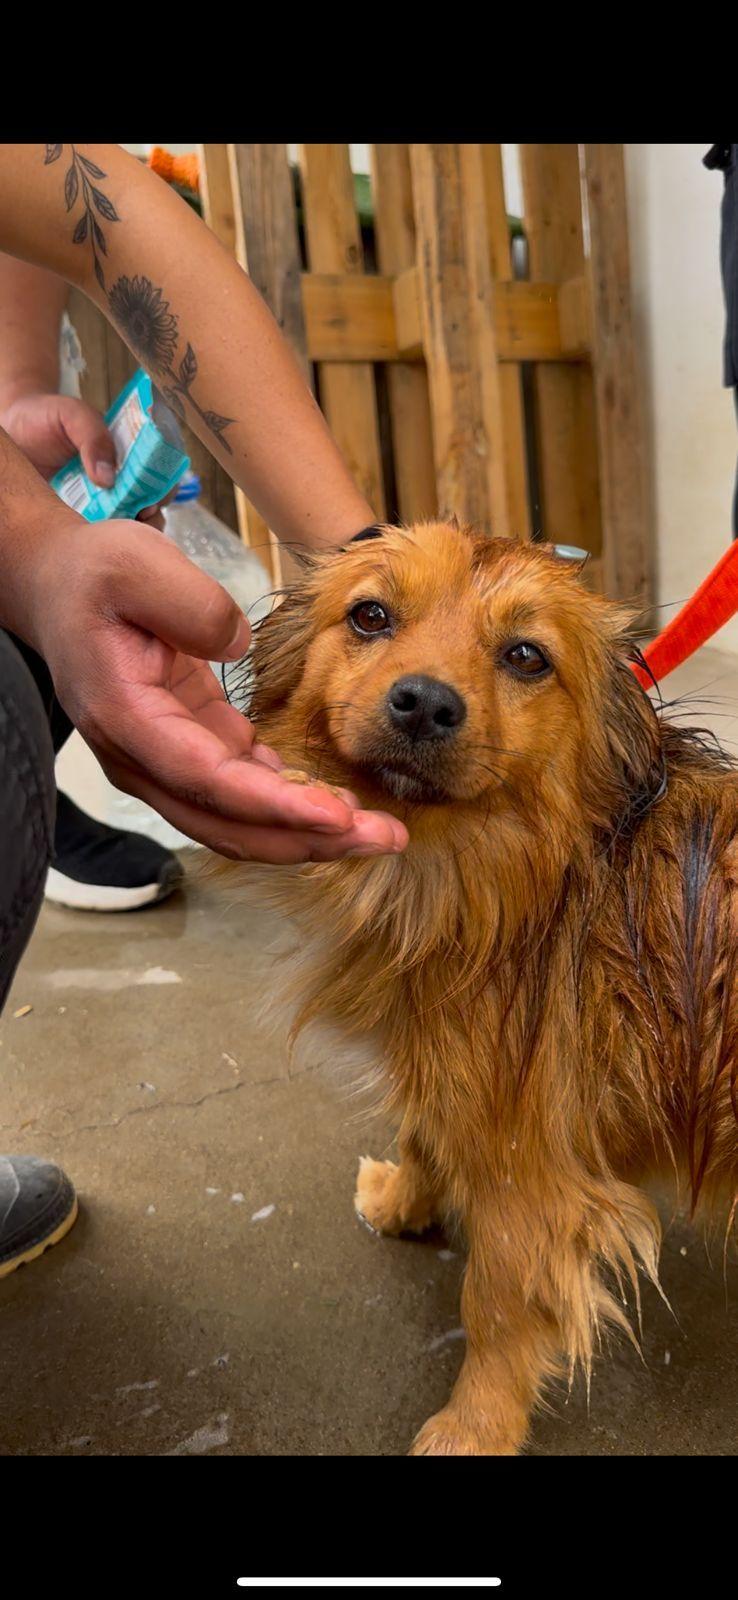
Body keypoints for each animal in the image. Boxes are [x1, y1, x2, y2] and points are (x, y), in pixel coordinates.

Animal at [216, 518, 733, 1459]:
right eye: (370, 615)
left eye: (527, 656)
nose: (424, 702)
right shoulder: (455, 1067)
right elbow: (422, 1127)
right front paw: (404, 1199)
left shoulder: (530, 1171)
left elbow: (492, 1305)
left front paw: (473, 1428)